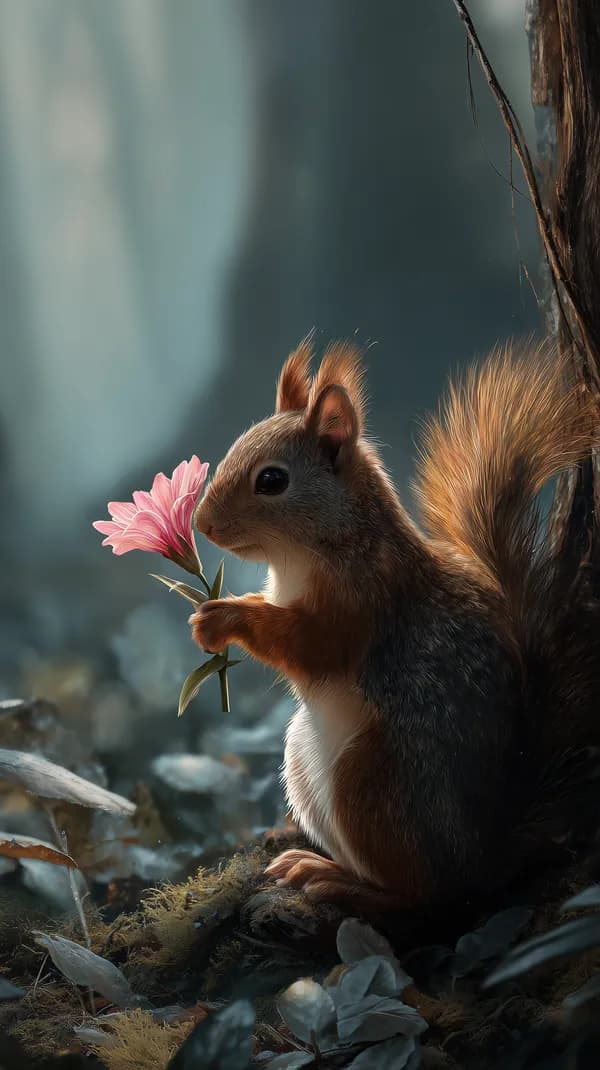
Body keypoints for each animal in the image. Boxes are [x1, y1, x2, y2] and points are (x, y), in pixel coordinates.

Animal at [191, 338, 600, 912]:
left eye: (272, 480)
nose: (202, 524)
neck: (309, 550)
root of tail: (487, 859)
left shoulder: (363, 599)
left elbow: (310, 646)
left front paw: (224, 616)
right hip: (304, 763)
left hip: (373, 780)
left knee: (423, 895)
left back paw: (335, 878)